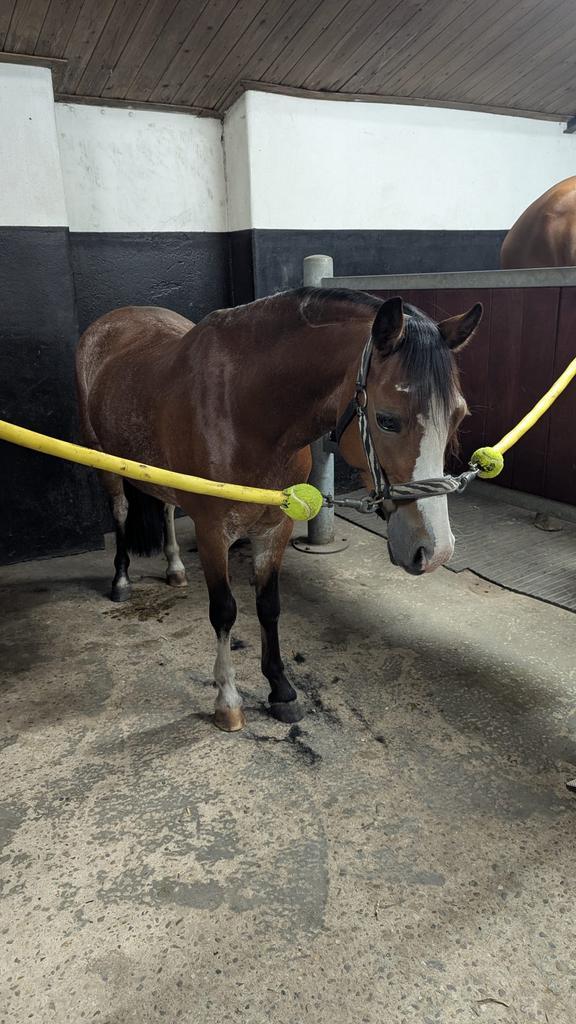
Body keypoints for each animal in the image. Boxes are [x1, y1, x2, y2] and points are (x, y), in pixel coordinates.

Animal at [76, 289, 482, 733]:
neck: (244, 411)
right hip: (103, 460)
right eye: (388, 420)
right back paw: (121, 580)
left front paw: (281, 690)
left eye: (459, 416)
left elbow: (268, 607)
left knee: (165, 505)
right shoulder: (212, 532)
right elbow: (224, 611)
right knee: (120, 510)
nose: (436, 550)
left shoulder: (277, 527)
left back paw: (175, 568)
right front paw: (228, 701)